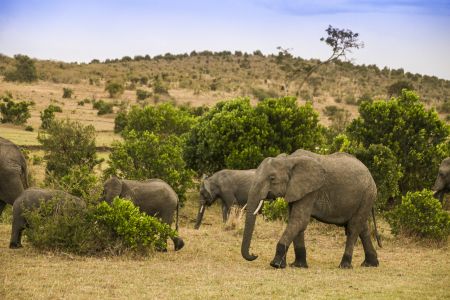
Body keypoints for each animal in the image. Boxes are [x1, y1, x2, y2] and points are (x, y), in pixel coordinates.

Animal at [241, 150, 382, 270]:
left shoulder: (311, 191)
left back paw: (345, 266)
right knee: (363, 228)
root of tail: (370, 174)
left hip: (368, 194)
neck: (289, 160)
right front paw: (297, 265)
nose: (254, 254)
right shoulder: (296, 190)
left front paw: (276, 264)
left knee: (353, 228)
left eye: (272, 178)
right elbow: (296, 222)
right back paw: (370, 264)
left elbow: (299, 220)